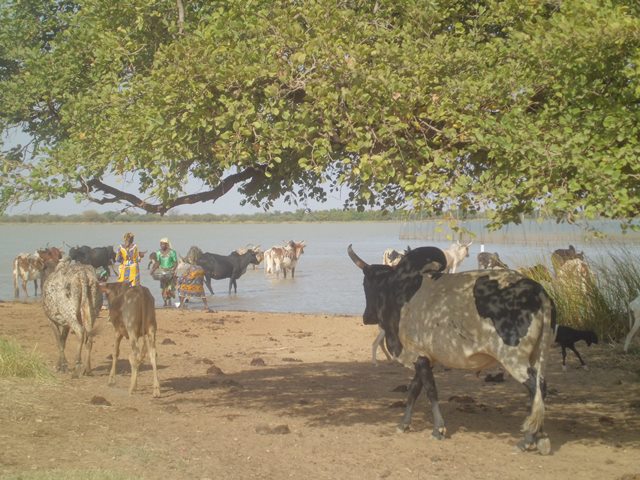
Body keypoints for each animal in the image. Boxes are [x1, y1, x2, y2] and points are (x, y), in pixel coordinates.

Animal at [348, 246, 556, 456]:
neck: (399, 292)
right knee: (540, 389)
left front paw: (438, 429)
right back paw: (540, 436)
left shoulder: (419, 357)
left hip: (514, 359)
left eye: (366, 284)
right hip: (538, 354)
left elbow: (431, 391)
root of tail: (539, 292)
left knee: (535, 387)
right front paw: (404, 424)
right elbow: (414, 390)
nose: (366, 317)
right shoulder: (424, 357)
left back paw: (526, 440)